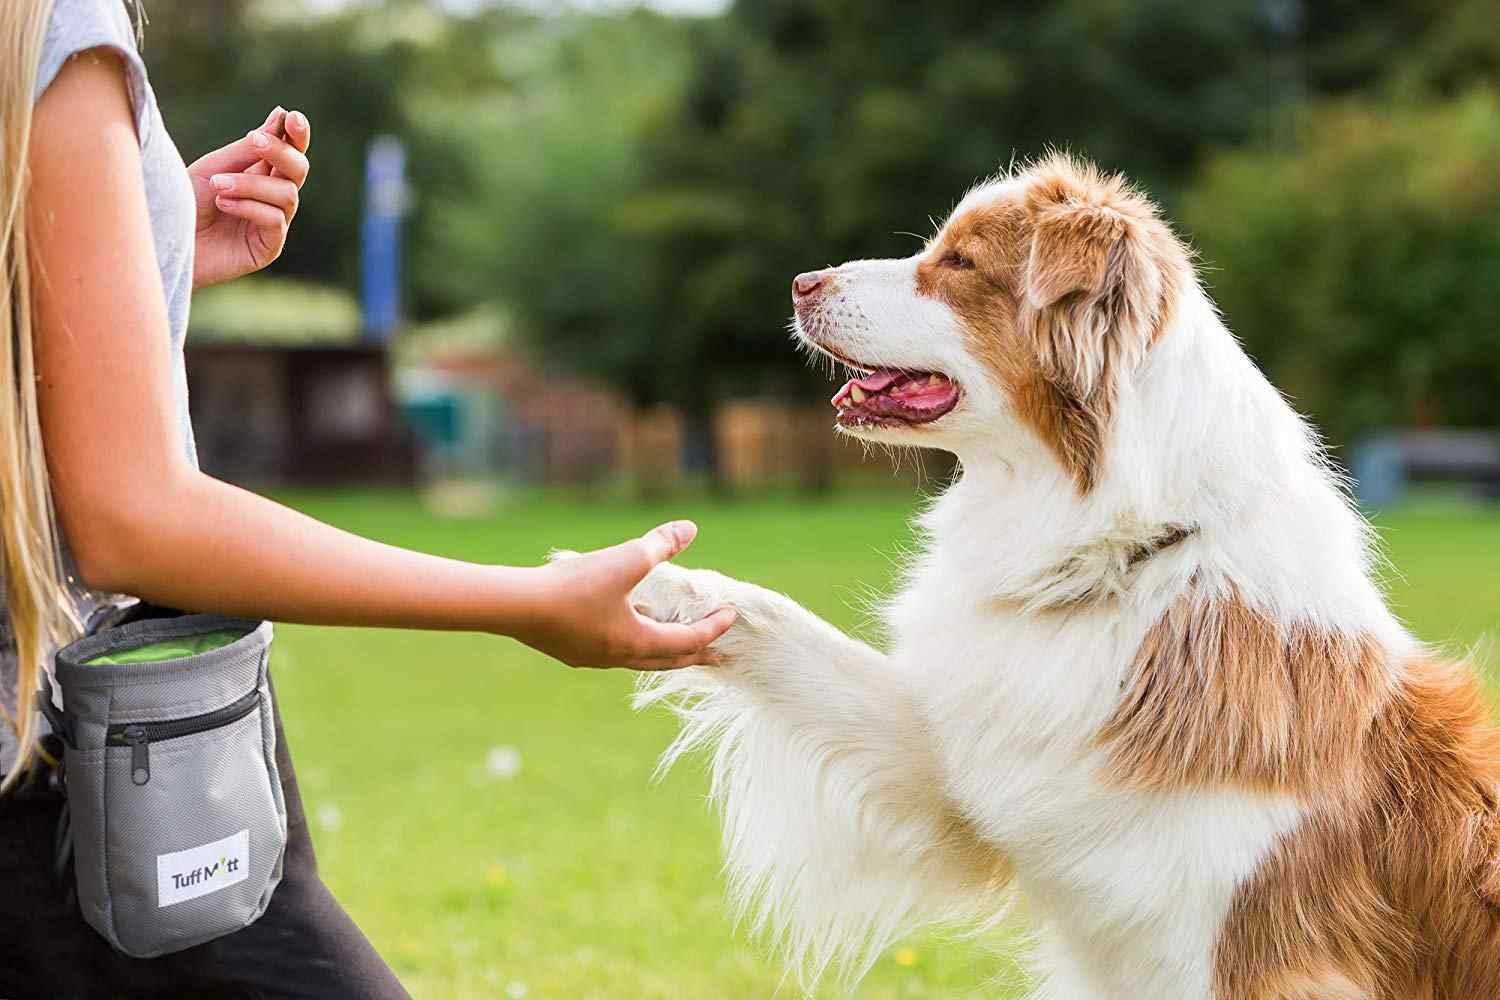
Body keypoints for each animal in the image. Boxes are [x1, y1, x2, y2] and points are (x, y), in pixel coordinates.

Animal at [630, 152, 1500, 995]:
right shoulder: (979, 759)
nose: (801, 282)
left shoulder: (1252, 952)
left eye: (959, 262)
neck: (1119, 558)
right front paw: (644, 585)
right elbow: (782, 624)